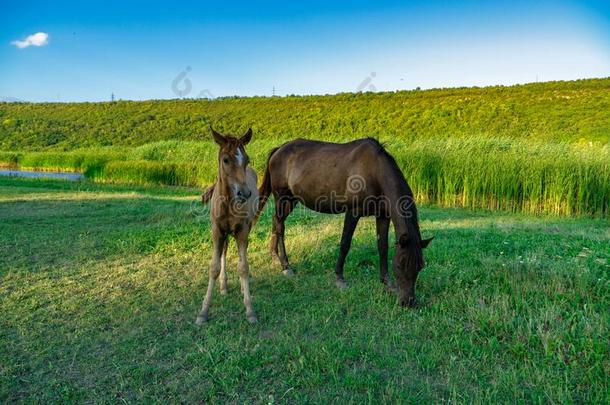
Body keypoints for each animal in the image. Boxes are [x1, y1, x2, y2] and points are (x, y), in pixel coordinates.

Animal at [196, 125, 258, 322]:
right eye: (225, 159)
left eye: (247, 159)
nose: (244, 193)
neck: (228, 203)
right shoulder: (217, 231)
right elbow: (214, 267)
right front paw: (203, 312)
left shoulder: (242, 230)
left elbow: (243, 267)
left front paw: (250, 309)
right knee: (224, 251)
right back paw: (223, 286)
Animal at [254, 137, 430, 304]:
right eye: (400, 264)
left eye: (420, 266)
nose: (408, 302)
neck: (374, 172)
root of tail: (279, 149)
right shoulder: (353, 212)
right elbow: (345, 243)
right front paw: (339, 278)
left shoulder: (383, 215)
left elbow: (383, 247)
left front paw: (387, 283)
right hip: (281, 197)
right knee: (280, 226)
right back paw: (286, 266)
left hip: (292, 199)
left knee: (276, 222)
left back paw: (274, 257)